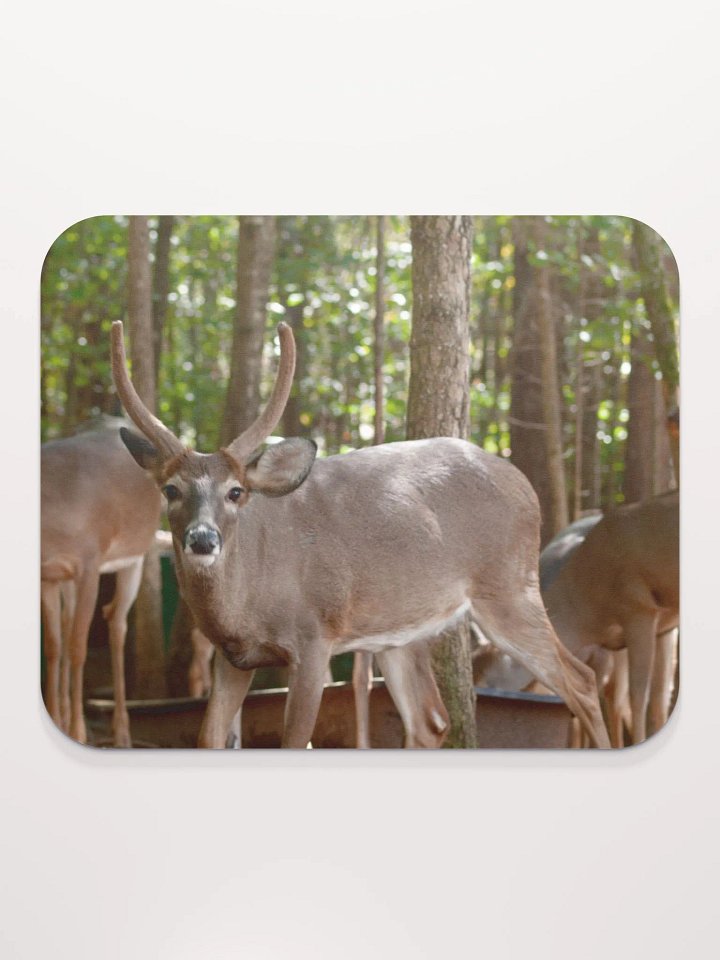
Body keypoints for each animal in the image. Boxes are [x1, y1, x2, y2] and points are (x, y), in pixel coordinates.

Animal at [41, 420, 162, 746]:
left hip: (134, 556)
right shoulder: (47, 575)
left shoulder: (90, 563)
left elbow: (78, 647)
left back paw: (122, 732)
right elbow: (54, 645)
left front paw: (78, 732)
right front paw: (57, 719)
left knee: (116, 623)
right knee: (73, 623)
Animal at [111, 320, 610, 749]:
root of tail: (526, 485)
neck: (246, 601)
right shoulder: (232, 657)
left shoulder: (313, 638)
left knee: (582, 682)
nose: (202, 540)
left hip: (509, 586)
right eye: (171, 489)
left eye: (236, 491)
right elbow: (209, 737)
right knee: (430, 720)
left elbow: (296, 741)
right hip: (401, 630)